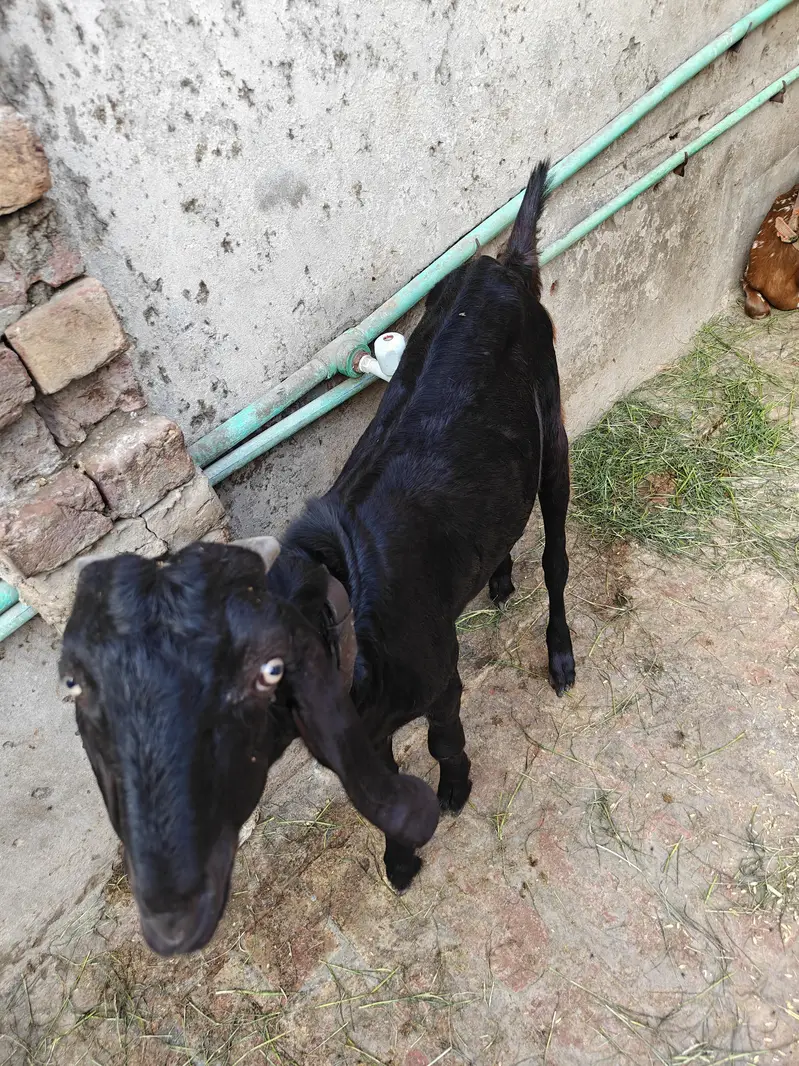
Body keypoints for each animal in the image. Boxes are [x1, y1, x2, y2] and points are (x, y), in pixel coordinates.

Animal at [60, 160, 575, 956]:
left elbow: (442, 738)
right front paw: (401, 858)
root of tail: (503, 266)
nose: (169, 910)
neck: (345, 588)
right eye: (88, 693)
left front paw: (453, 794)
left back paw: (559, 652)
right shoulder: (367, 725)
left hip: (553, 432)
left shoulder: (438, 676)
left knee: (555, 554)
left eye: (258, 675)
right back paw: (495, 576)